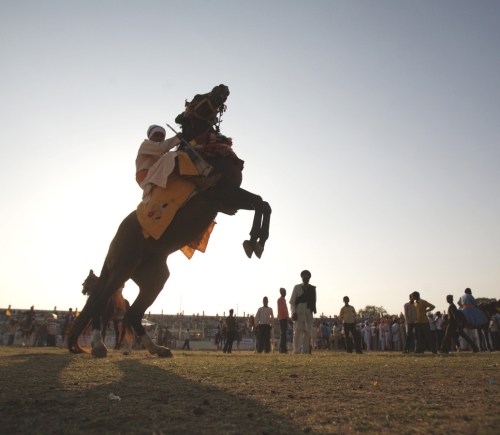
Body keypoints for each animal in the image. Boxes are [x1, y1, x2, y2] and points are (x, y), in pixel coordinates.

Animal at [68, 84, 272, 358]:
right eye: (197, 97)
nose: (222, 87)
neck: (209, 152)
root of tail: (114, 240)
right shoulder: (223, 193)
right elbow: (261, 203)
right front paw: (254, 241)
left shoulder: (230, 200)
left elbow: (263, 203)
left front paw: (255, 241)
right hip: (122, 267)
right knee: (100, 304)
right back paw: (100, 346)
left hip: (153, 276)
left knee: (133, 313)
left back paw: (157, 348)